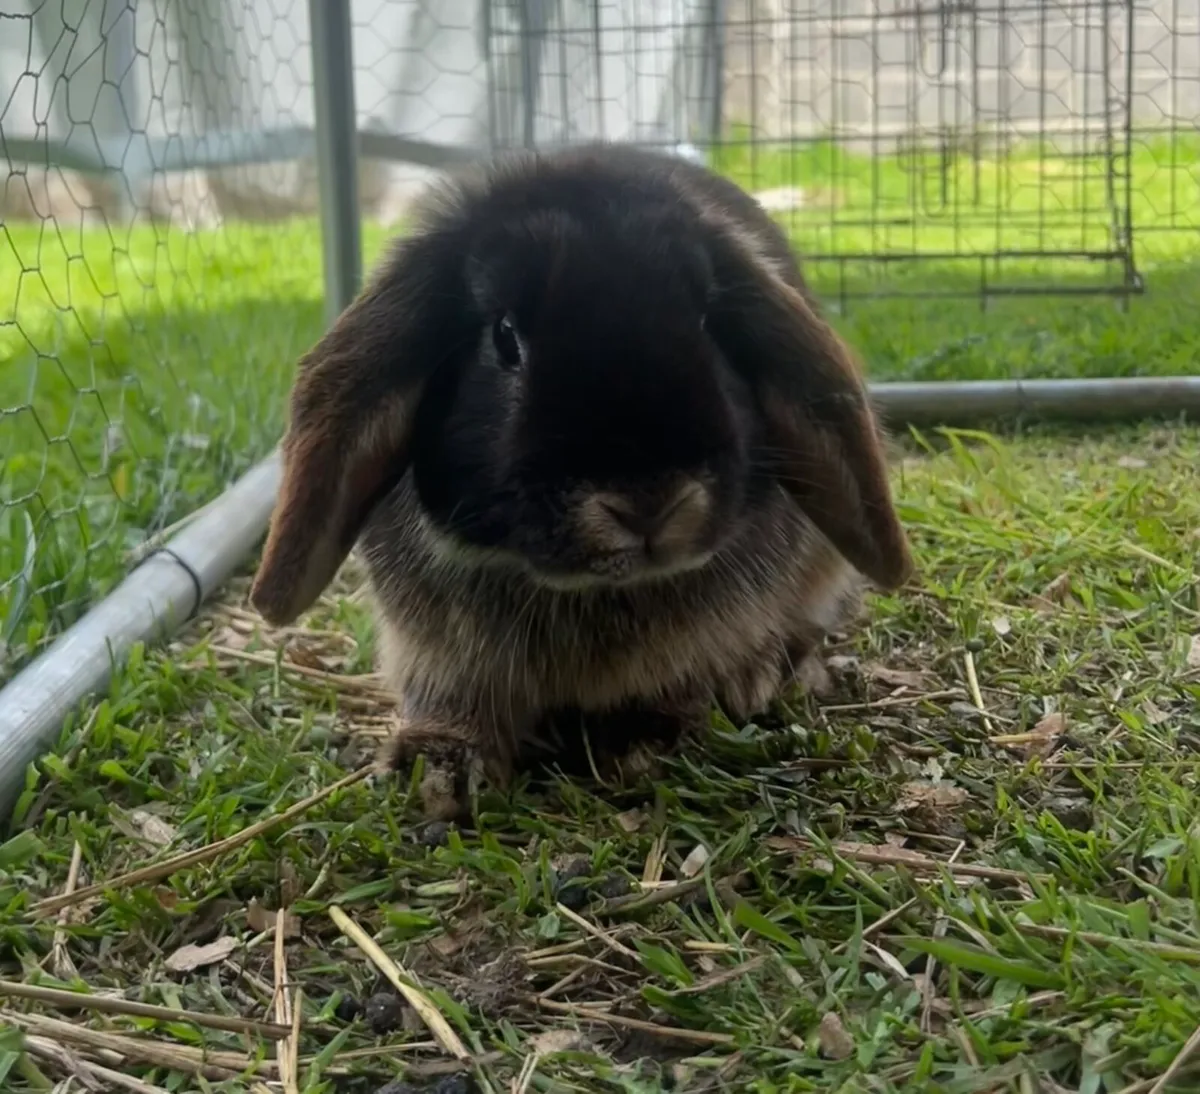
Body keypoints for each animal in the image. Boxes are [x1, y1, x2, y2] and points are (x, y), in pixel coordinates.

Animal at [248, 142, 913, 820]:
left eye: (706, 321)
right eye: (504, 336)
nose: (649, 503)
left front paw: (642, 741)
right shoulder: (434, 651)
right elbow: (450, 700)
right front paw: (439, 772)